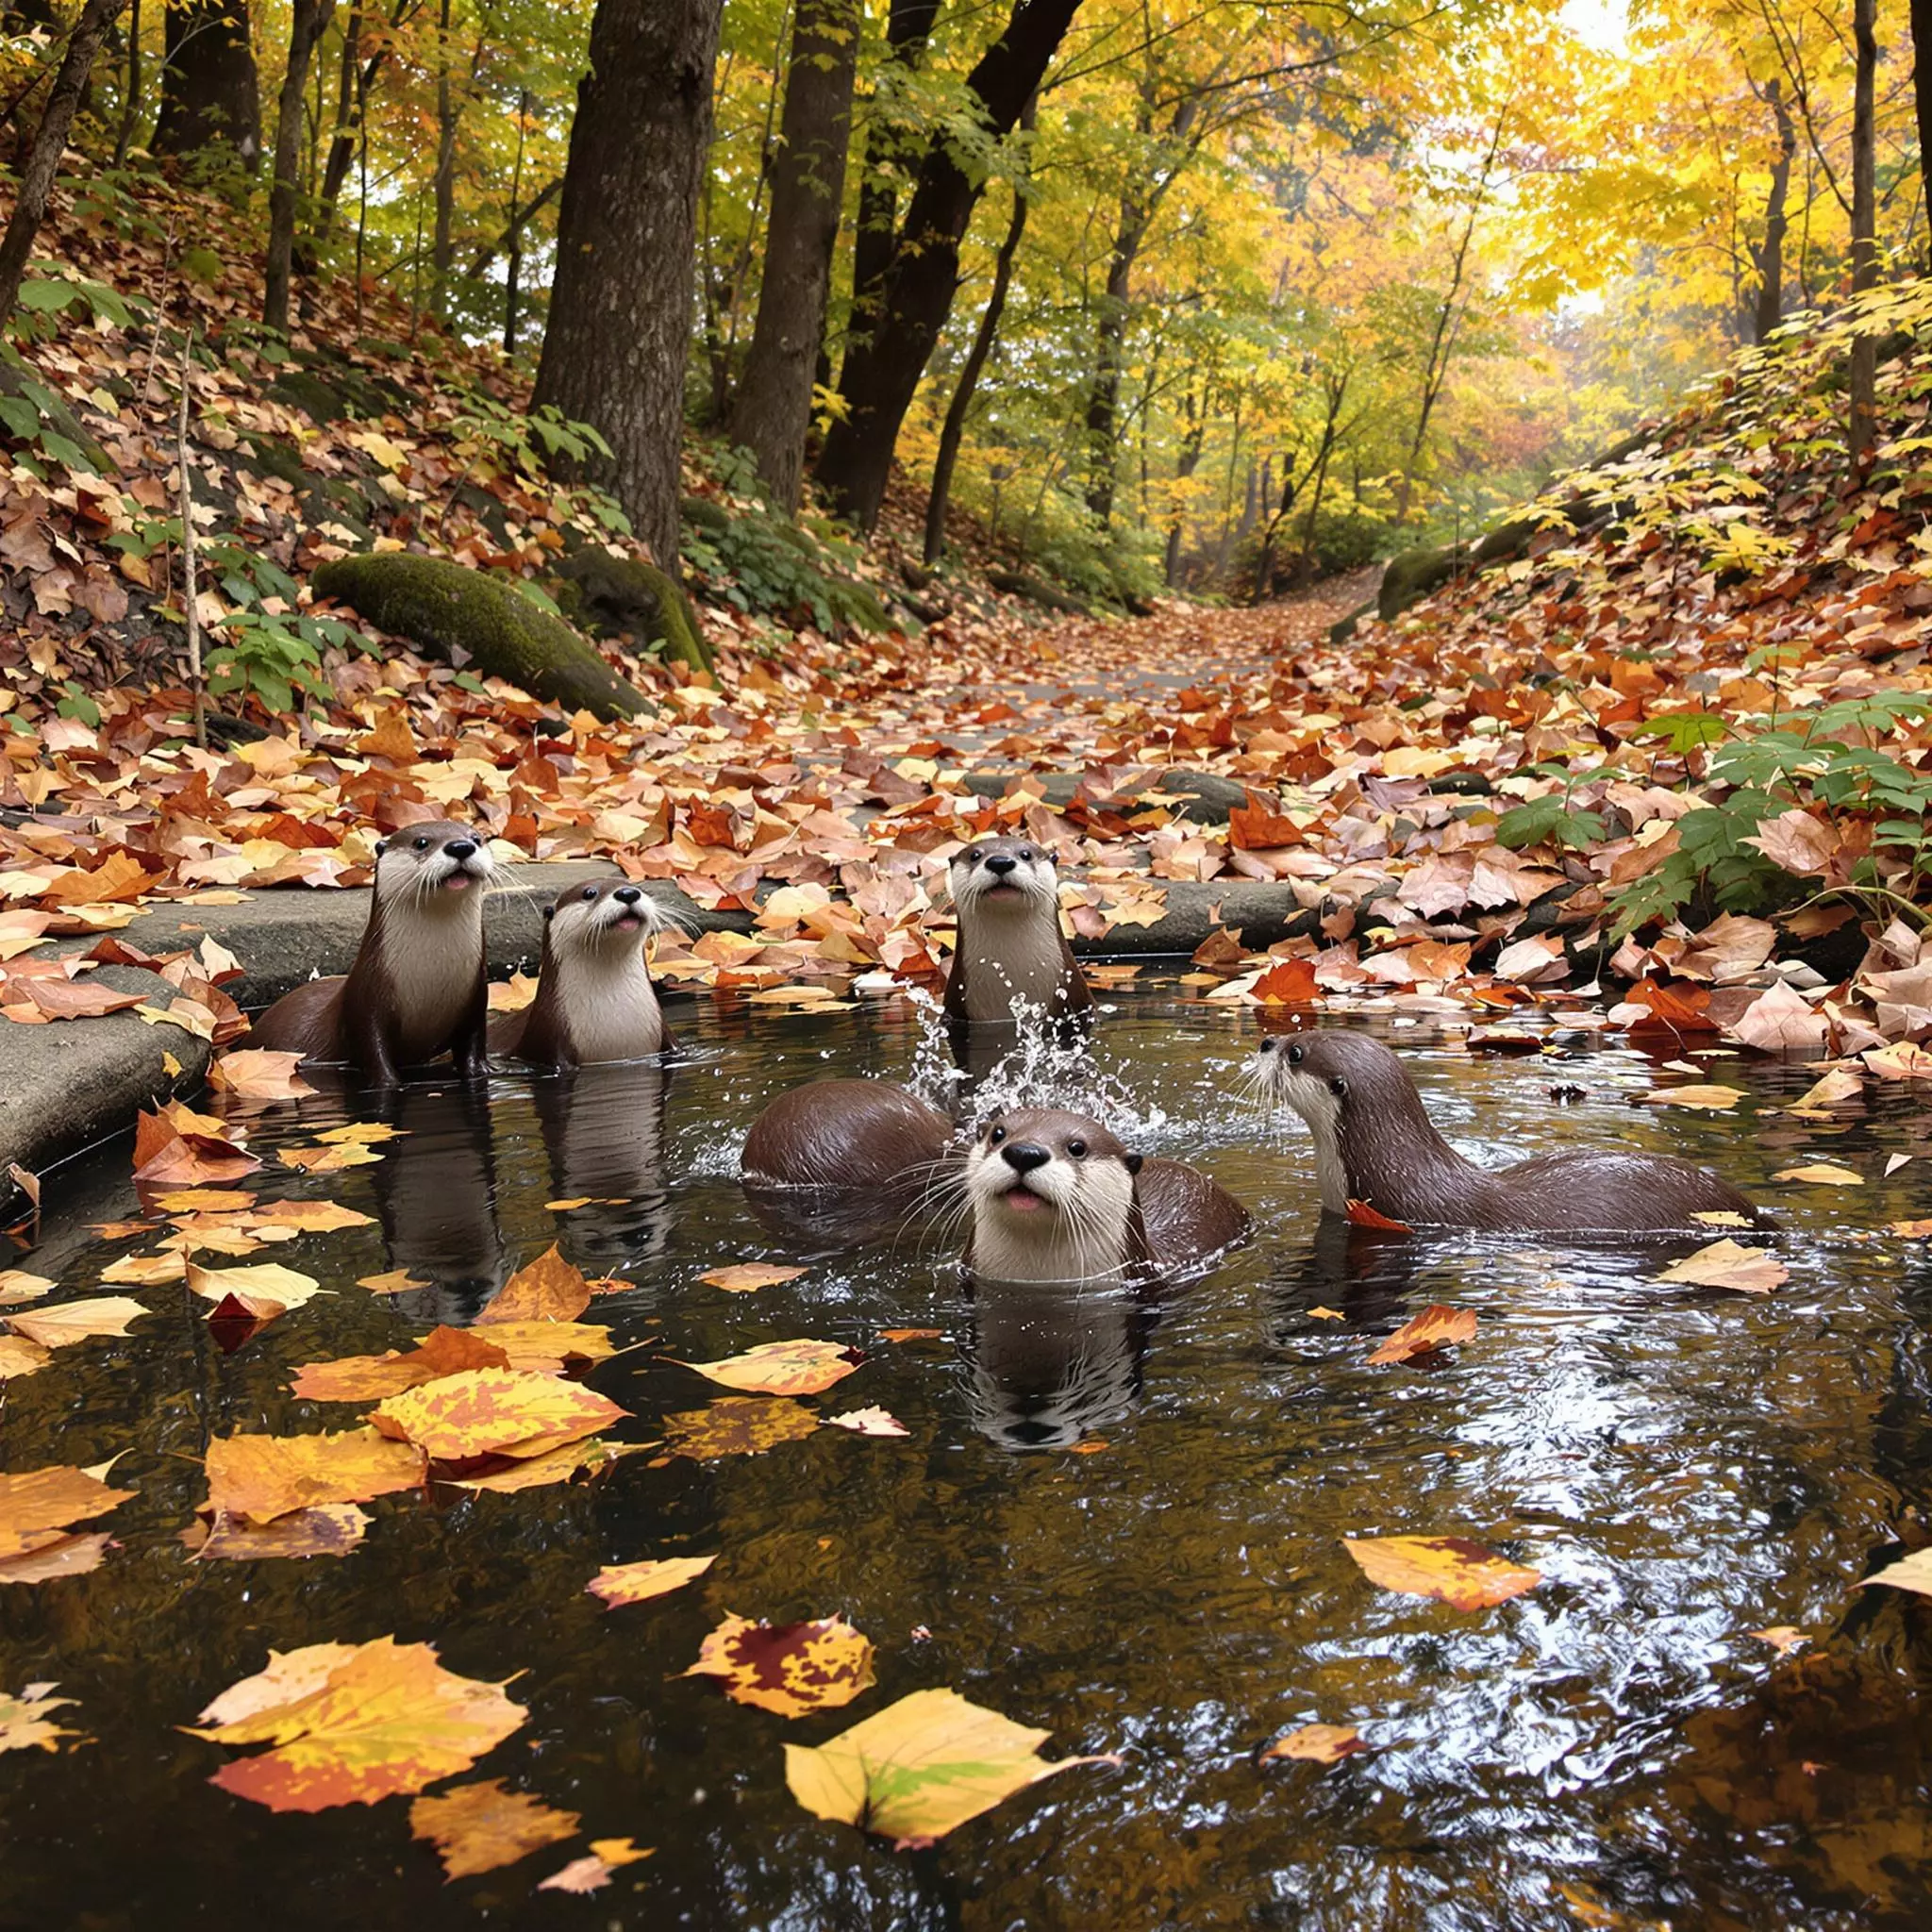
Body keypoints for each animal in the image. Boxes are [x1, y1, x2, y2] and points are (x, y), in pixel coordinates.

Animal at [249, 821, 495, 1083]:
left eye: (476, 838)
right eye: (421, 842)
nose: (461, 846)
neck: (432, 978)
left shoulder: (476, 1000)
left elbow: (474, 1043)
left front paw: (481, 1070)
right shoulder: (365, 1004)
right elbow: (372, 1050)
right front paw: (389, 1081)